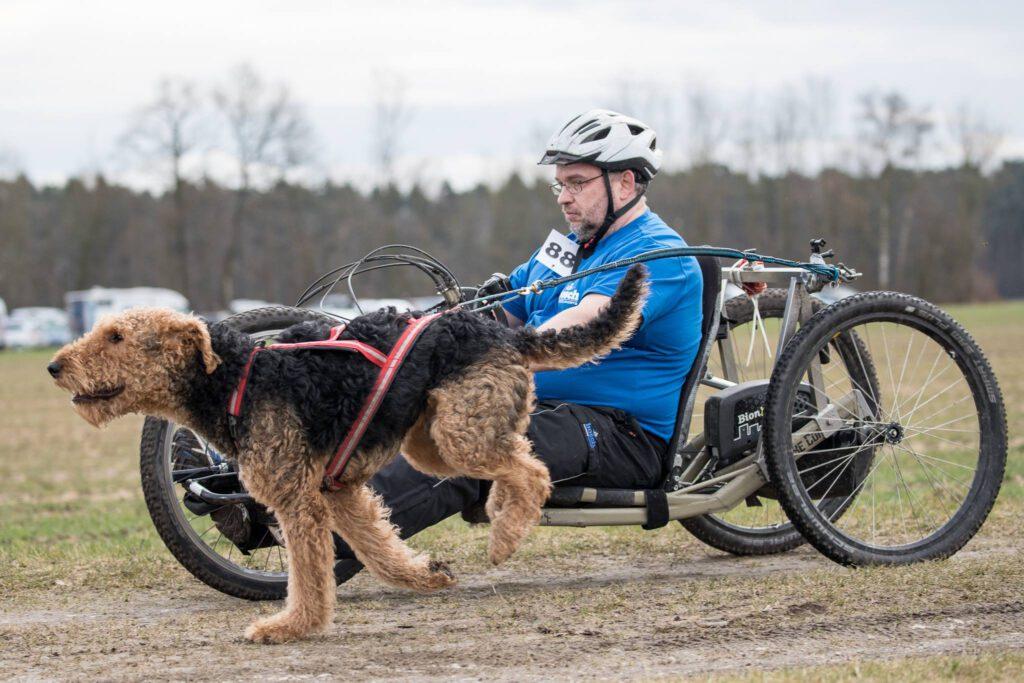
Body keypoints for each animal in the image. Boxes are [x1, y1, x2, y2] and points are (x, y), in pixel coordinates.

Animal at [49, 264, 647, 643]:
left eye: (117, 336)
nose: (55, 366)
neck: (239, 378)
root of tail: (501, 331)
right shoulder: (339, 494)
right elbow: (381, 549)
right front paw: (426, 576)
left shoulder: (298, 502)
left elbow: (310, 574)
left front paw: (290, 628)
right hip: (433, 440)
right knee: (523, 462)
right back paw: (501, 520)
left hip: (460, 434)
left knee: (532, 470)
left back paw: (503, 537)